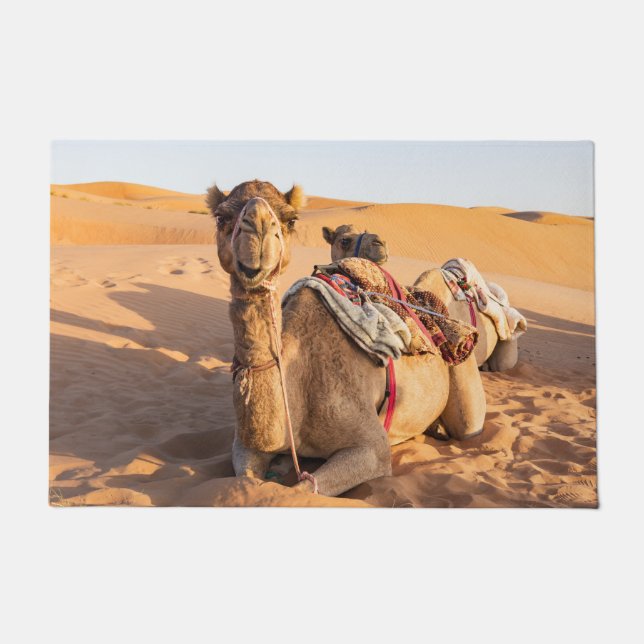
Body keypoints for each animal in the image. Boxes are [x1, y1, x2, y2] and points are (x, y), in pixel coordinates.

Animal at [208, 180, 486, 497]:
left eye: (290, 219)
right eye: (221, 217)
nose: (257, 231)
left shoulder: (372, 448)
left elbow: (298, 491)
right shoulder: (244, 445)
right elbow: (248, 480)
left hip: (464, 378)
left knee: (468, 424)